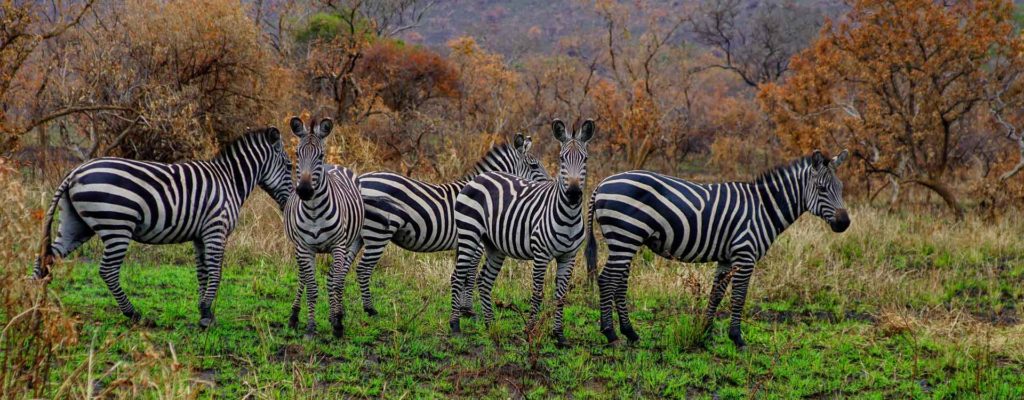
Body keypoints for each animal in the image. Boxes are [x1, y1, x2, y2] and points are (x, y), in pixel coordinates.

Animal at [34, 127, 293, 328]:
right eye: (290, 166)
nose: (291, 202)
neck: (229, 181)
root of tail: (75, 172)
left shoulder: (201, 235)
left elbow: (202, 272)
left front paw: (204, 311)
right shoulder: (216, 229)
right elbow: (216, 272)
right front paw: (207, 315)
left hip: (76, 224)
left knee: (47, 257)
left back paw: (34, 307)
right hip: (117, 225)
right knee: (107, 270)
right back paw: (134, 314)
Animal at [283, 116, 365, 339]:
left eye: (319, 155)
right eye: (297, 154)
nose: (304, 190)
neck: (313, 211)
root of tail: (334, 165)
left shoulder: (338, 245)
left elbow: (335, 283)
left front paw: (337, 324)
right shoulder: (304, 248)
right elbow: (311, 287)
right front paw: (311, 328)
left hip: (347, 244)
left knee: (335, 278)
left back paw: (336, 315)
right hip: (299, 248)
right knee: (303, 278)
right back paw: (294, 316)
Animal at [353, 133, 551, 316]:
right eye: (534, 165)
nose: (552, 185)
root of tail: (362, 178)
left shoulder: (464, 242)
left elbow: (461, 273)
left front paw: (461, 308)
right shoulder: (476, 242)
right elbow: (469, 275)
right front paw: (468, 310)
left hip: (360, 234)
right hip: (378, 233)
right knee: (363, 269)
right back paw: (370, 309)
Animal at [449, 119, 595, 348]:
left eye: (585, 159)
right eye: (562, 158)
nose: (572, 194)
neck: (569, 216)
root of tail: (480, 177)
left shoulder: (568, 256)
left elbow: (561, 296)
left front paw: (559, 336)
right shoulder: (541, 255)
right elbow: (537, 294)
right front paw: (531, 331)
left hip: (495, 246)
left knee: (484, 281)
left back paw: (490, 325)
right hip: (469, 235)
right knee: (458, 275)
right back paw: (455, 325)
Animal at [584, 150, 851, 348]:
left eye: (841, 187)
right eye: (822, 189)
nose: (845, 223)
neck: (764, 208)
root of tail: (602, 184)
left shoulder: (726, 258)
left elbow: (716, 294)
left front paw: (705, 332)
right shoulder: (745, 255)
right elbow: (739, 297)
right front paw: (737, 338)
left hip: (626, 241)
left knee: (619, 283)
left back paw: (630, 332)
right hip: (625, 236)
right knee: (607, 279)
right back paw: (610, 333)